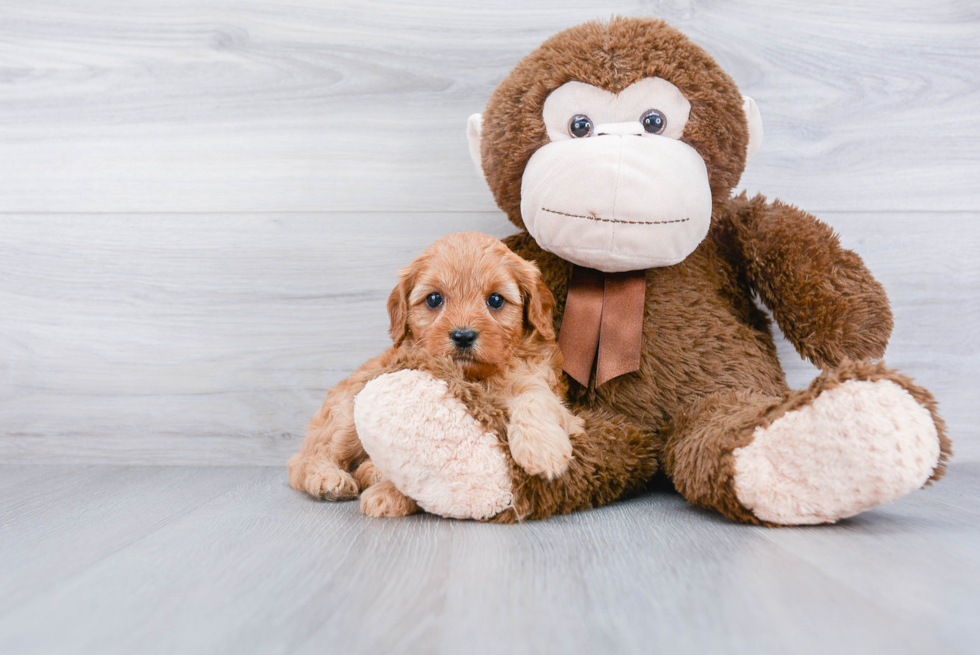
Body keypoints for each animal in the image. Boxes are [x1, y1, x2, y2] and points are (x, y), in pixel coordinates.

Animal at [288, 231, 584, 516]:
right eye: (434, 299)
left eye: (496, 300)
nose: (463, 336)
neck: (476, 377)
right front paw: (389, 494)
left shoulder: (545, 386)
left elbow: (536, 399)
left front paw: (541, 449)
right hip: (347, 412)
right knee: (304, 459)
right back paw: (327, 479)